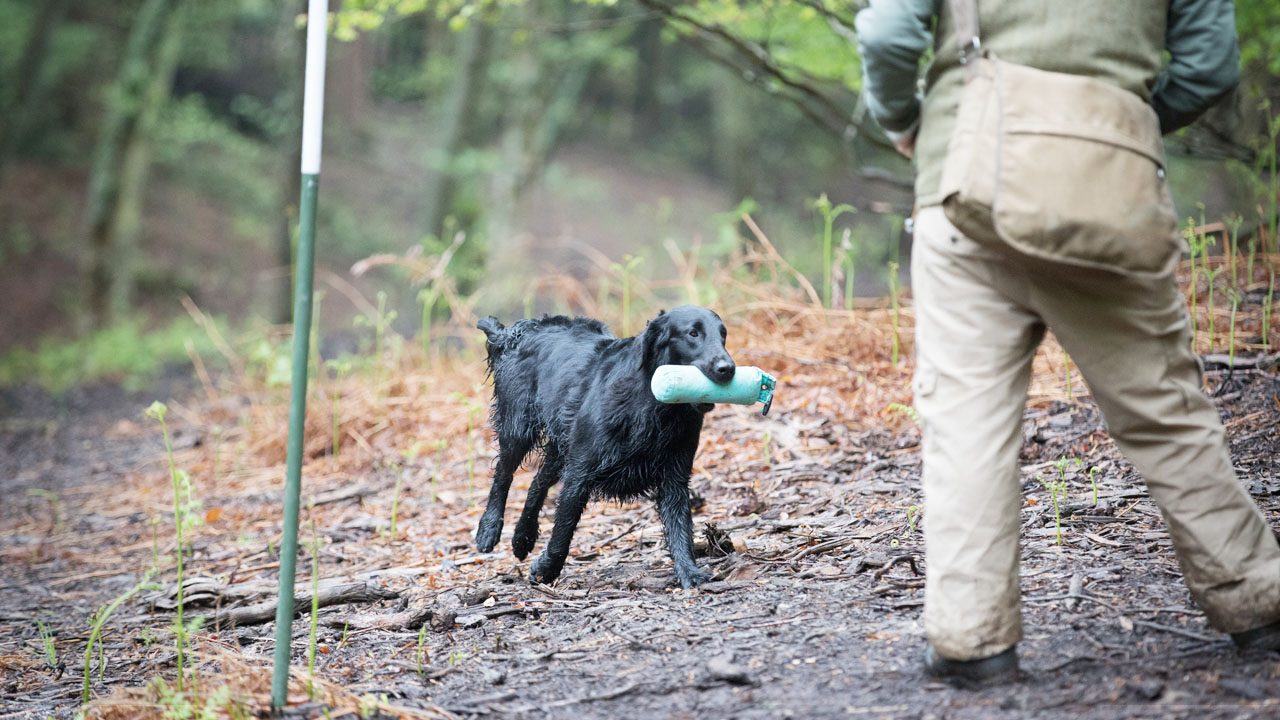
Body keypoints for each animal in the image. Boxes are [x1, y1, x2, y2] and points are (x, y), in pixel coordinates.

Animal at [473, 305, 735, 588]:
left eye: (723, 335)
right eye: (693, 333)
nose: (728, 368)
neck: (652, 406)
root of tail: (520, 330)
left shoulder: (674, 477)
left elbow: (680, 528)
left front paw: (689, 572)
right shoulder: (580, 473)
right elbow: (563, 530)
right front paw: (547, 569)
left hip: (561, 445)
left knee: (537, 482)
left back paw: (523, 538)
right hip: (519, 427)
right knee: (503, 474)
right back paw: (488, 531)